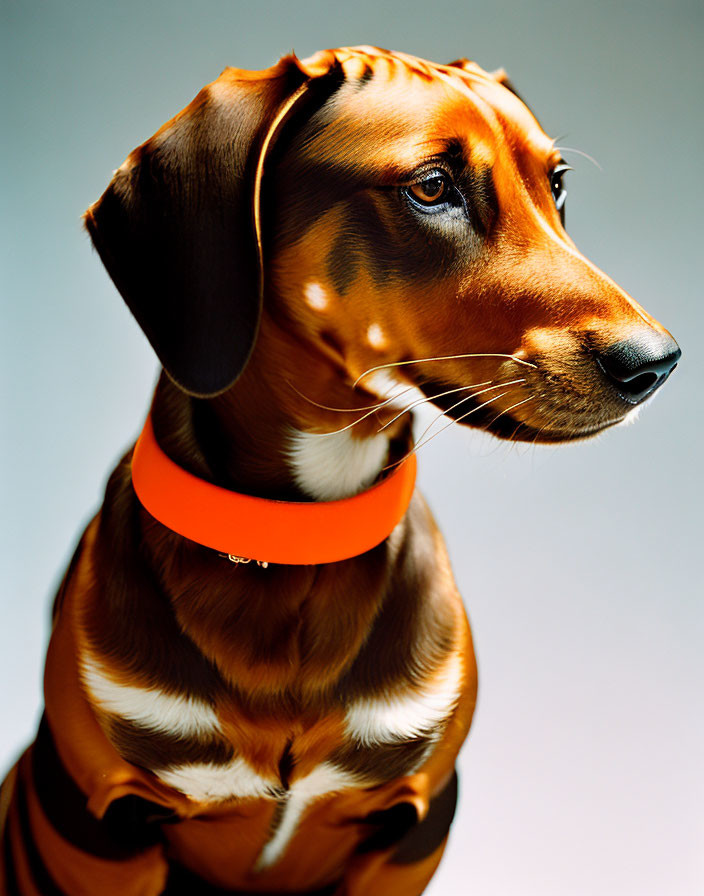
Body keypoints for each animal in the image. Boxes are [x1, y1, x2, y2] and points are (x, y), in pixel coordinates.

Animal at [1, 45, 680, 892]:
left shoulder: (414, 824)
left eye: (554, 184)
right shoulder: (89, 822)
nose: (656, 363)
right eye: (432, 187)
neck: (299, 537)